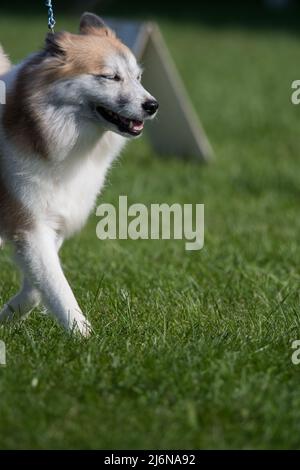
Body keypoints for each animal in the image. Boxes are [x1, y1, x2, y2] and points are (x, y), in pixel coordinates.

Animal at [0, 11, 159, 334]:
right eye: (110, 77)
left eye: (137, 77)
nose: (152, 105)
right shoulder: (29, 224)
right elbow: (57, 287)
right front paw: (83, 336)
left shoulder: (52, 220)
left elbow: (39, 287)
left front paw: (7, 315)